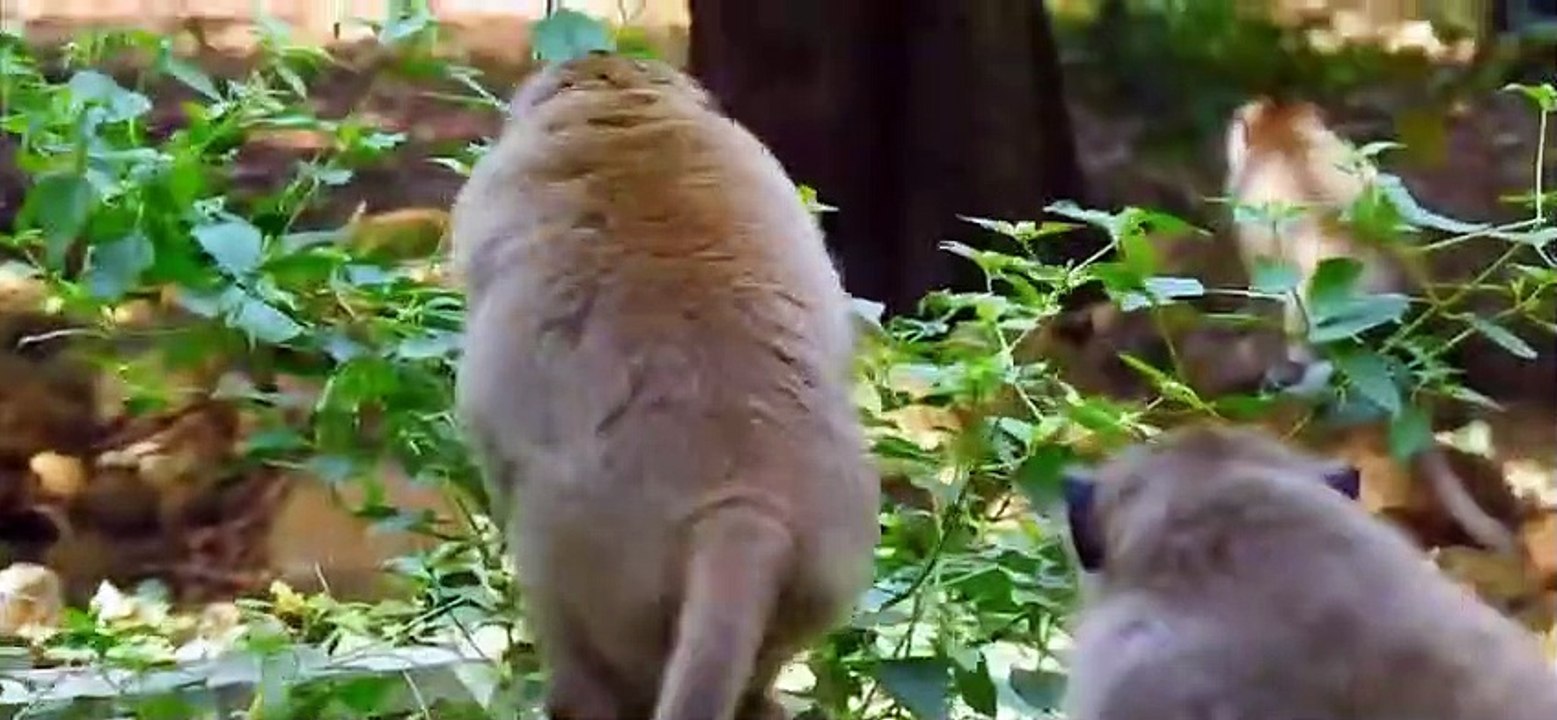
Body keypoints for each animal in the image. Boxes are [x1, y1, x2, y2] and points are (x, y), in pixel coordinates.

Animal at [450, 53, 880, 720]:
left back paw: (576, 692)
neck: (627, 111)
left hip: (600, 558)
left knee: (546, 547)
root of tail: (748, 503)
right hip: (823, 573)